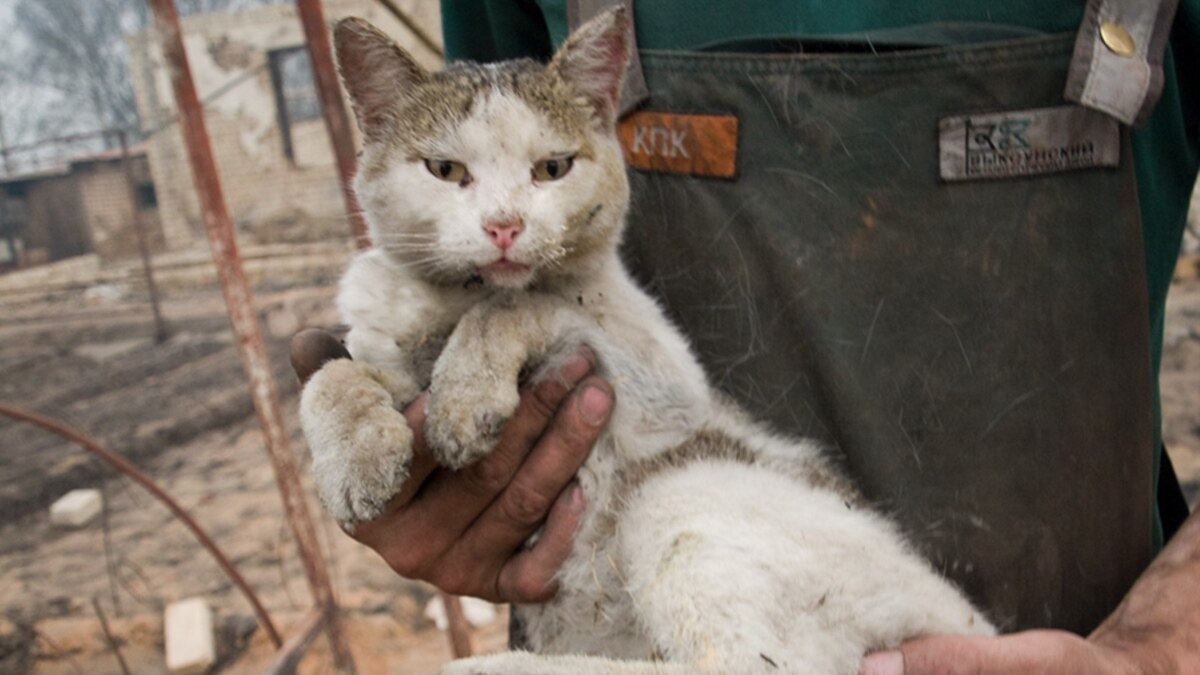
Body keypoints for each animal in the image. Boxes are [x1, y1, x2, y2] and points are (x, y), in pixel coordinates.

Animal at [300, 10, 993, 672]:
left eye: (553, 168)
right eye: (444, 170)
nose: (504, 227)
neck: (453, 301)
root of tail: (972, 624)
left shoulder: (666, 384)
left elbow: (525, 303)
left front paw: (465, 395)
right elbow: (327, 378)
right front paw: (356, 460)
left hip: (681, 494)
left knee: (746, 664)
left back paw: (497, 667)